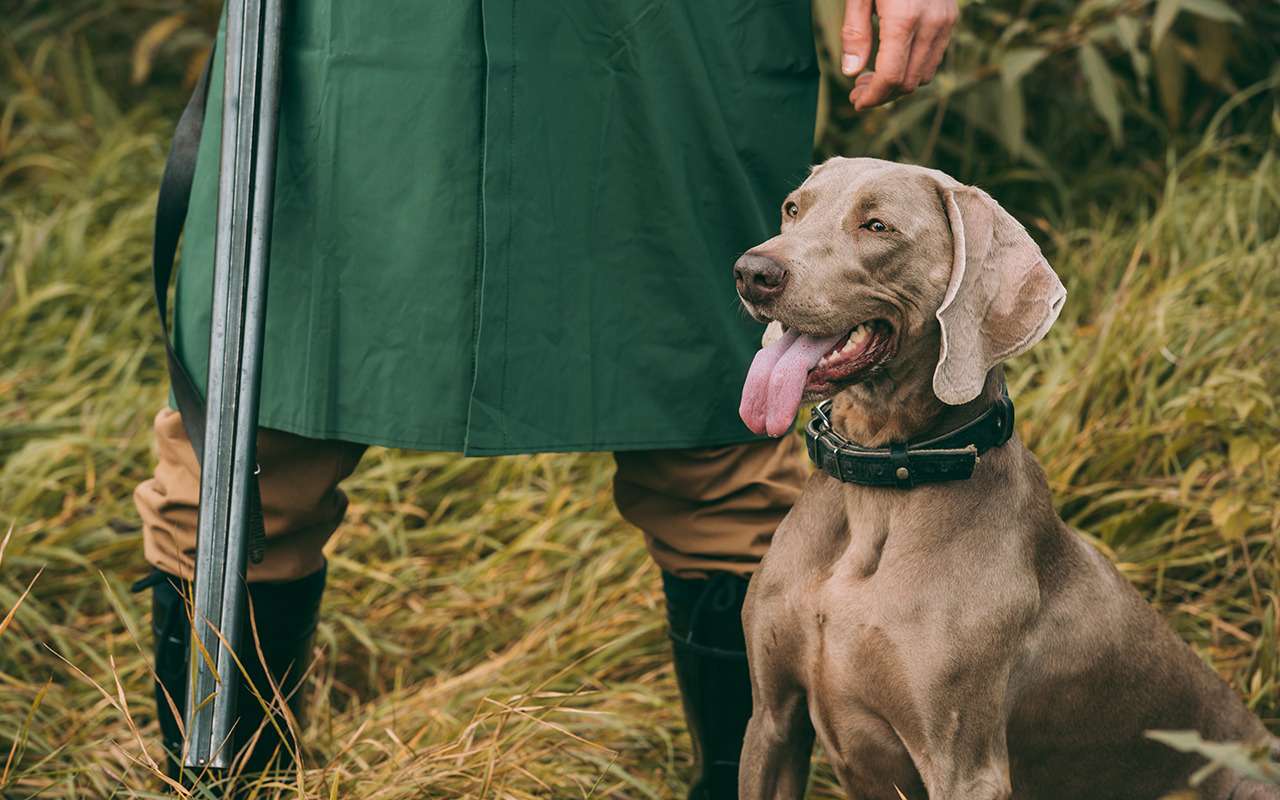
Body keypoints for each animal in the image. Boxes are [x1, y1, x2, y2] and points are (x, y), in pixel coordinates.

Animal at [732, 157, 1280, 798]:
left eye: (877, 226)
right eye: (793, 208)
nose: (752, 272)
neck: (880, 483)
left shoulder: (964, 765)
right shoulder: (771, 720)